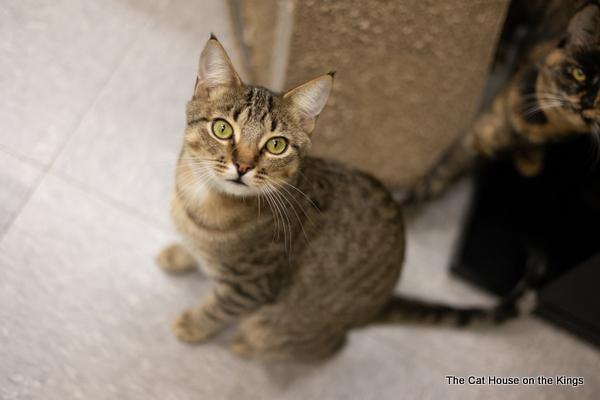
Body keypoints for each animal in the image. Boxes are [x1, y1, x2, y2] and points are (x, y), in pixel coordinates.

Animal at [157, 33, 532, 360]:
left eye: (276, 145)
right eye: (222, 128)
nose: (243, 165)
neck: (201, 199)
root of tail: (379, 304)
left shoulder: (252, 288)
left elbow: (218, 309)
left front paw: (193, 325)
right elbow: (194, 251)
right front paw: (181, 254)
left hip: (290, 323)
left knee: (321, 344)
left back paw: (248, 343)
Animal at [408, 1, 600, 205]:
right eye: (579, 73)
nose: (587, 102)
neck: (540, 127)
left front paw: (529, 157)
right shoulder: (482, 133)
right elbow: (439, 176)